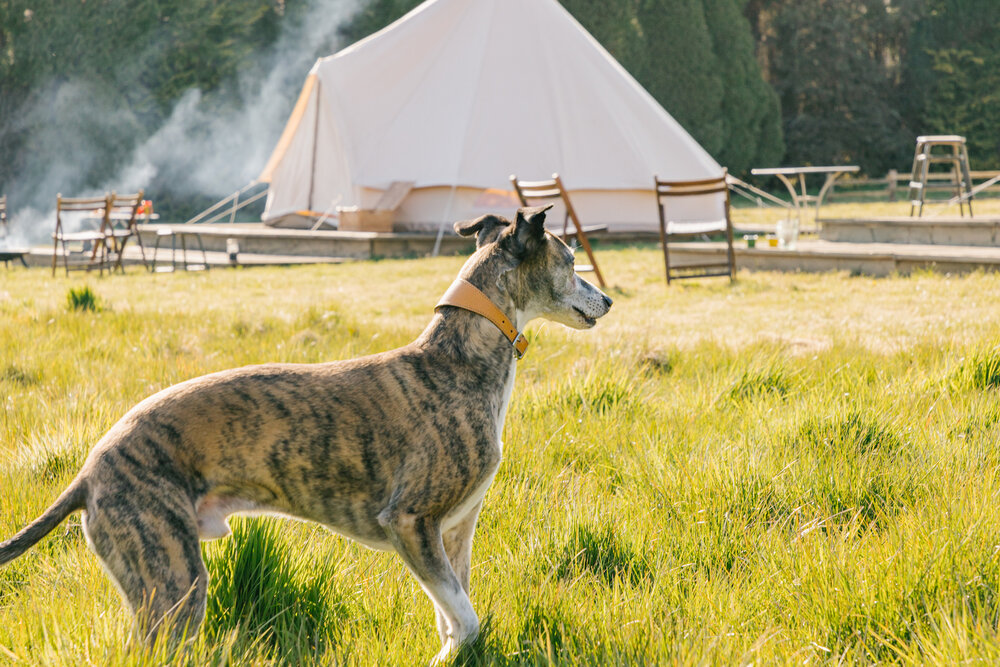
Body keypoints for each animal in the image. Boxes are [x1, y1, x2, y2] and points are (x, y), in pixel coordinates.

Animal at [0, 206, 608, 664]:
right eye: (571, 260)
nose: (607, 300)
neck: (457, 361)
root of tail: (87, 472)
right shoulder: (410, 521)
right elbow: (467, 618)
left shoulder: (452, 532)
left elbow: (454, 616)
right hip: (172, 581)